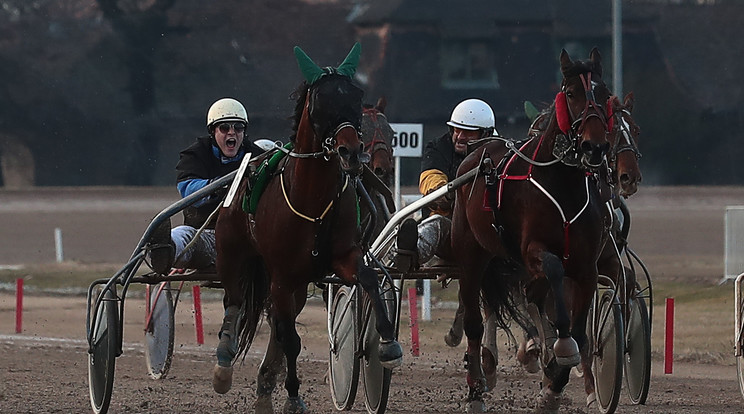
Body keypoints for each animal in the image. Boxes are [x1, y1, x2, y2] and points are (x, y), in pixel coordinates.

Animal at [212, 43, 404, 412]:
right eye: (321, 102)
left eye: (355, 98)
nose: (352, 152)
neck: (312, 199)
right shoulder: (282, 276)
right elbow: (291, 339)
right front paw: (292, 396)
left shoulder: (343, 257)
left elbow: (370, 280)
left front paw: (387, 344)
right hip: (233, 252)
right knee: (234, 301)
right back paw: (224, 364)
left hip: (297, 284)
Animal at [450, 48, 612, 410]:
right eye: (571, 93)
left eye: (605, 93)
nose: (595, 147)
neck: (563, 184)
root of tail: (477, 153)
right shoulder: (533, 250)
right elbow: (553, 272)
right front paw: (559, 352)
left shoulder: (586, 267)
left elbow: (578, 331)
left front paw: (553, 386)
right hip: (470, 252)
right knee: (473, 320)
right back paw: (476, 389)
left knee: (532, 296)